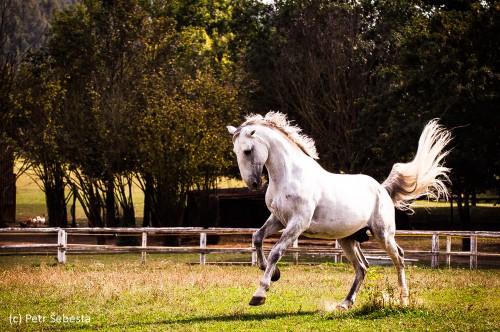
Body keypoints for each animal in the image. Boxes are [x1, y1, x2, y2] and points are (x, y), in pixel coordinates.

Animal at [227, 111, 450, 308]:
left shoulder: (297, 223)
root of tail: (382, 188)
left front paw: (259, 294)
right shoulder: (278, 219)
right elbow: (257, 238)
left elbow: (275, 252)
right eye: (236, 152)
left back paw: (403, 299)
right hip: (347, 239)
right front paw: (274, 273)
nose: (253, 183)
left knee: (400, 258)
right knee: (362, 267)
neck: (290, 176)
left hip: (383, 234)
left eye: (247, 150)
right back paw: (345, 303)